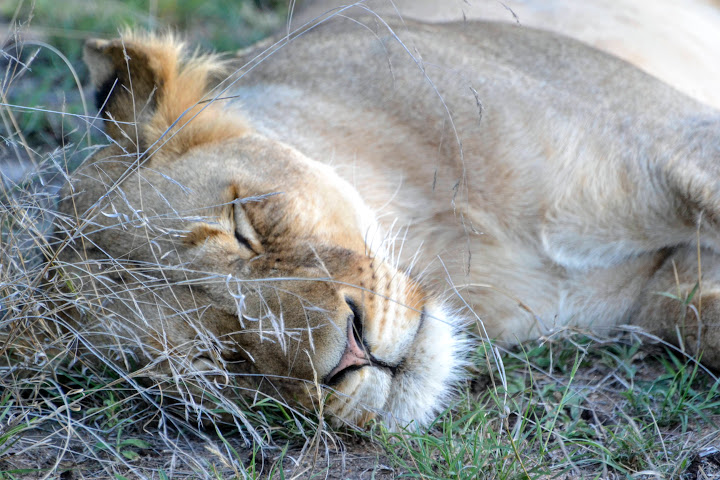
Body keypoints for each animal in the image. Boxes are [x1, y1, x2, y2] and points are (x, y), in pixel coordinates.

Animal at [54, 2, 720, 428]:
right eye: (219, 359)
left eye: (244, 230)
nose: (352, 356)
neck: (456, 248)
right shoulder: (656, 294)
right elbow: (695, 320)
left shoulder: (678, 138)